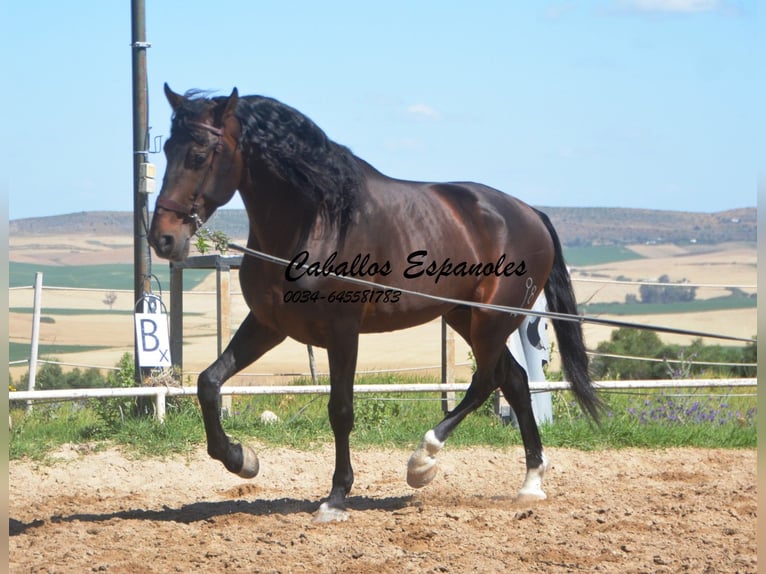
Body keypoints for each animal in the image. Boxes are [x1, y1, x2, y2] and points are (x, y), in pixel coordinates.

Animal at [150, 86, 604, 528]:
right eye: (167, 148)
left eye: (199, 155)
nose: (162, 238)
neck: (316, 222)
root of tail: (531, 214)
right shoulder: (268, 324)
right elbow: (209, 382)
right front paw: (242, 459)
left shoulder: (342, 332)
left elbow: (340, 410)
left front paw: (335, 499)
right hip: (466, 316)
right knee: (514, 380)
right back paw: (531, 483)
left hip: (494, 318)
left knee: (487, 380)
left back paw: (422, 462)